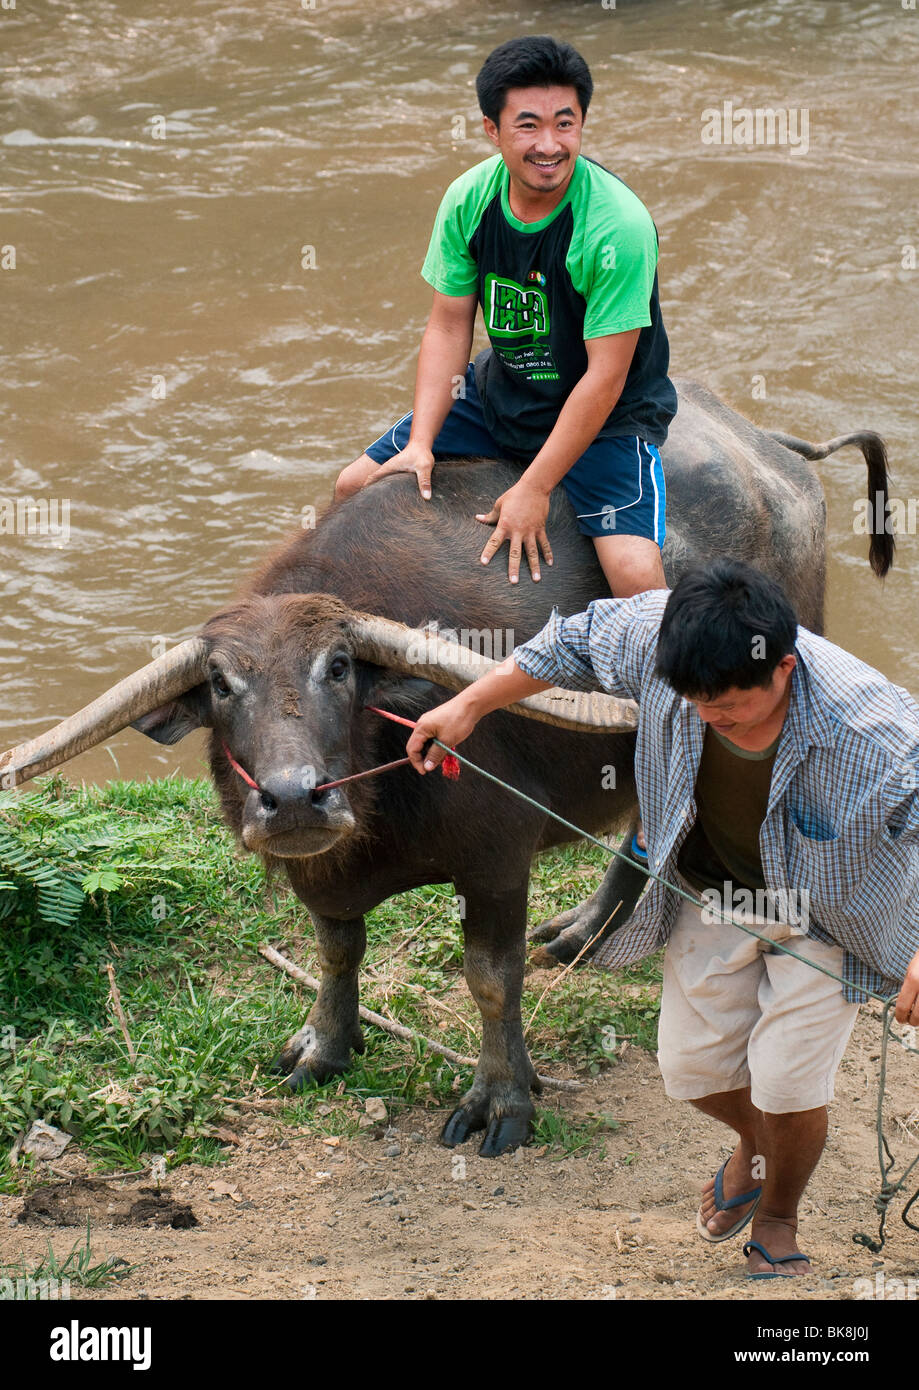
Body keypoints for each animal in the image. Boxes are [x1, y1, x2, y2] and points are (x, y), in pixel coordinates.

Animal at [0, 378, 889, 1150]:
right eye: (221, 684)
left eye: (339, 668)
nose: (293, 801)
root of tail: (771, 450)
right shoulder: (323, 876)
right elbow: (336, 952)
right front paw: (323, 1046)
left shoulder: (496, 863)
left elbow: (490, 979)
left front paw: (501, 1099)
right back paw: (584, 930)